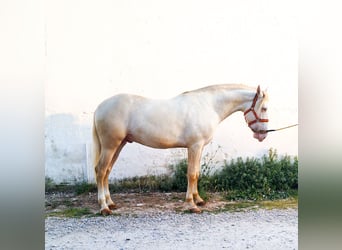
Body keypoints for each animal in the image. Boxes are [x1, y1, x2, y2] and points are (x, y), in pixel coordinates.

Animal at [93, 84, 270, 215]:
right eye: (265, 108)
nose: (262, 135)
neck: (208, 105)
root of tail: (100, 107)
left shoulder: (199, 147)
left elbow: (196, 173)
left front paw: (198, 199)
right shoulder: (194, 146)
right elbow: (191, 174)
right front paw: (192, 205)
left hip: (119, 145)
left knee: (107, 171)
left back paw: (111, 203)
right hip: (110, 146)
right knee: (100, 171)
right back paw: (104, 207)